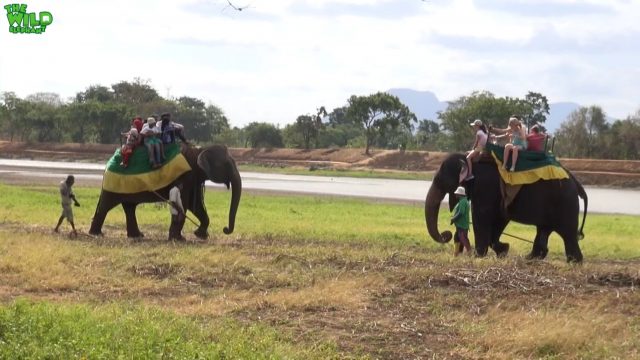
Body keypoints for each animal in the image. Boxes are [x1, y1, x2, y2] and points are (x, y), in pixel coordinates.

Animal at [87, 143, 240, 239]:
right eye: (227, 164)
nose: (225, 229)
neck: (200, 149)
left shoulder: (193, 178)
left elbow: (195, 206)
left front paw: (201, 235)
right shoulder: (186, 175)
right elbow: (185, 204)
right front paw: (179, 239)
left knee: (129, 207)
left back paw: (137, 235)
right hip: (114, 182)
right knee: (105, 206)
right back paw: (96, 234)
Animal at [428, 152, 588, 262]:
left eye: (440, 181)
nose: (446, 233)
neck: (469, 158)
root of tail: (577, 183)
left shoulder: (486, 186)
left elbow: (482, 214)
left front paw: (478, 255)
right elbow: (500, 216)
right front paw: (503, 251)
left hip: (565, 204)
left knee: (568, 233)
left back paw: (574, 262)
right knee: (544, 230)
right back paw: (530, 258)